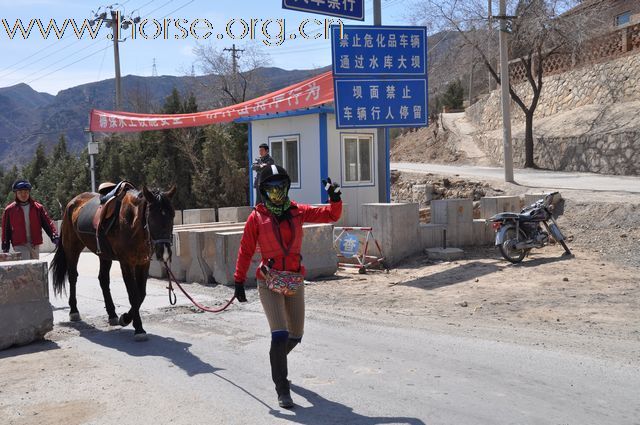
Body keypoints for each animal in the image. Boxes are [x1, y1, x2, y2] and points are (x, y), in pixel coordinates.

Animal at [50, 184, 176, 340]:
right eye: (151, 217)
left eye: (172, 215)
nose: (164, 252)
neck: (130, 222)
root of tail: (71, 203)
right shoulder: (126, 263)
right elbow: (133, 294)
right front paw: (138, 328)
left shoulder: (143, 262)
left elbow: (141, 294)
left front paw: (126, 318)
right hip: (72, 248)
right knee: (73, 276)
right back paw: (74, 311)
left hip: (104, 255)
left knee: (103, 279)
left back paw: (112, 314)